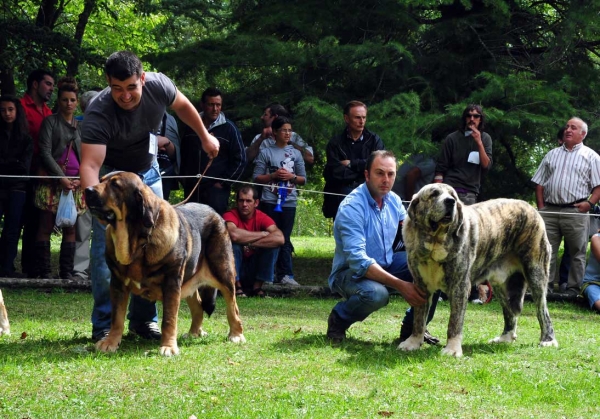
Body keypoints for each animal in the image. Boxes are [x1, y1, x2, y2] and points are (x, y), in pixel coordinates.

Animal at [84, 172, 244, 356]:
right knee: (198, 307)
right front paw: (110, 342)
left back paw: (236, 335)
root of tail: (215, 212)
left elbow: (169, 319)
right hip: (188, 283)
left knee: (232, 307)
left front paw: (168, 347)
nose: (87, 190)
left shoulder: (171, 283)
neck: (137, 242)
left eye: (115, 185)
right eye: (101, 180)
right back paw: (194, 333)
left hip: (223, 274)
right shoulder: (118, 284)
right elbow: (116, 317)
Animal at [398, 184, 556, 358]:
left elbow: (454, 322)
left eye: (453, 195)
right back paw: (505, 338)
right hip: (501, 285)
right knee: (510, 312)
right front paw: (413, 342)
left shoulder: (460, 287)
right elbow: (419, 319)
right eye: (434, 194)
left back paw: (548, 340)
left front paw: (452, 349)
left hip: (536, 274)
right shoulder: (420, 286)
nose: (450, 202)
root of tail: (530, 207)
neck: (435, 242)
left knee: (542, 311)